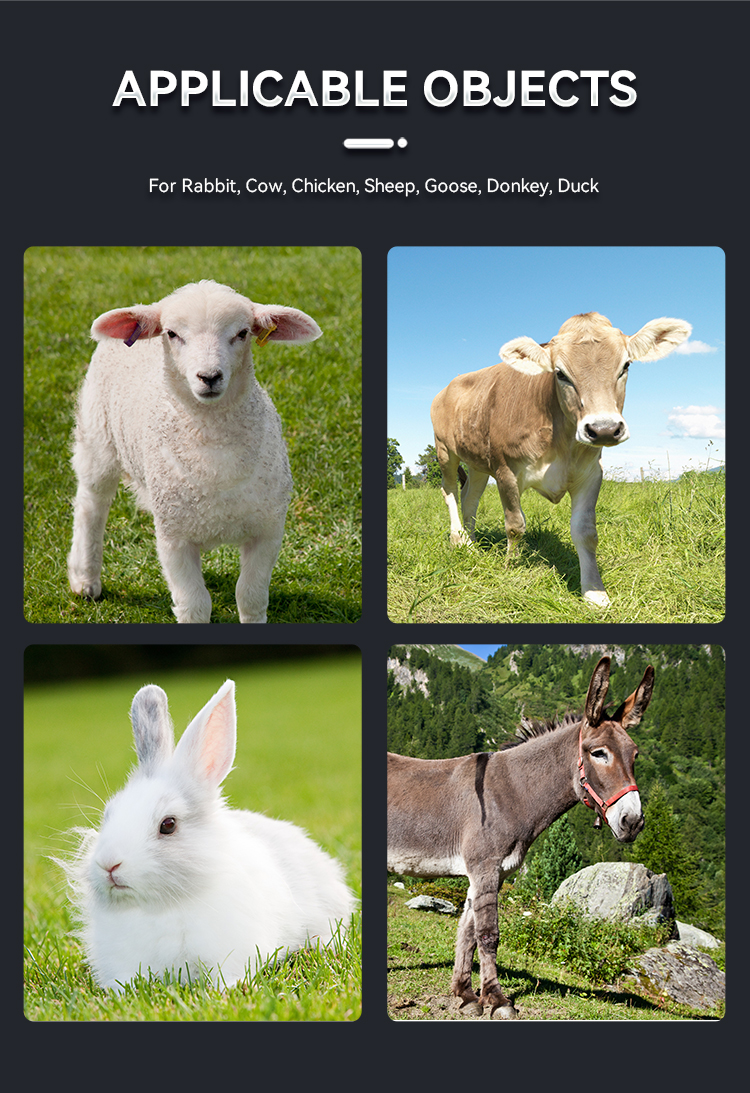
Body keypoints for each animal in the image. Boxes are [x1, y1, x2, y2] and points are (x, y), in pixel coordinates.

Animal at [67, 279, 322, 623]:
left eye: (242, 333)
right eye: (172, 334)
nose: (209, 377)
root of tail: (148, 306)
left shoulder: (268, 529)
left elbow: (251, 598)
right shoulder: (173, 539)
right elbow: (194, 605)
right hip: (98, 436)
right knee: (91, 505)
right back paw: (85, 579)